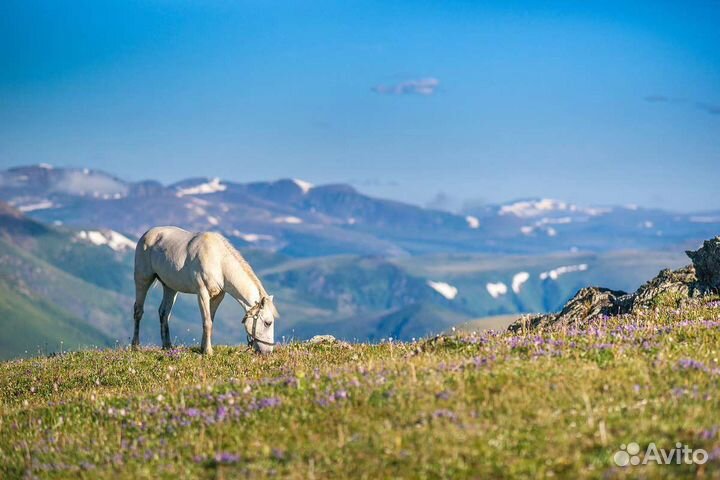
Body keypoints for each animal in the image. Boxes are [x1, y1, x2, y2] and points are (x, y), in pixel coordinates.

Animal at [131, 227, 278, 354]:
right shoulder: (202, 293)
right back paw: (135, 346)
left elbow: (210, 320)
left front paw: (203, 348)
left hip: (170, 287)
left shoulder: (218, 296)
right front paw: (208, 351)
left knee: (164, 313)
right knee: (138, 311)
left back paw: (167, 346)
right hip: (142, 279)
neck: (219, 261)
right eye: (268, 323)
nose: (268, 352)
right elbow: (207, 322)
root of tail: (148, 233)